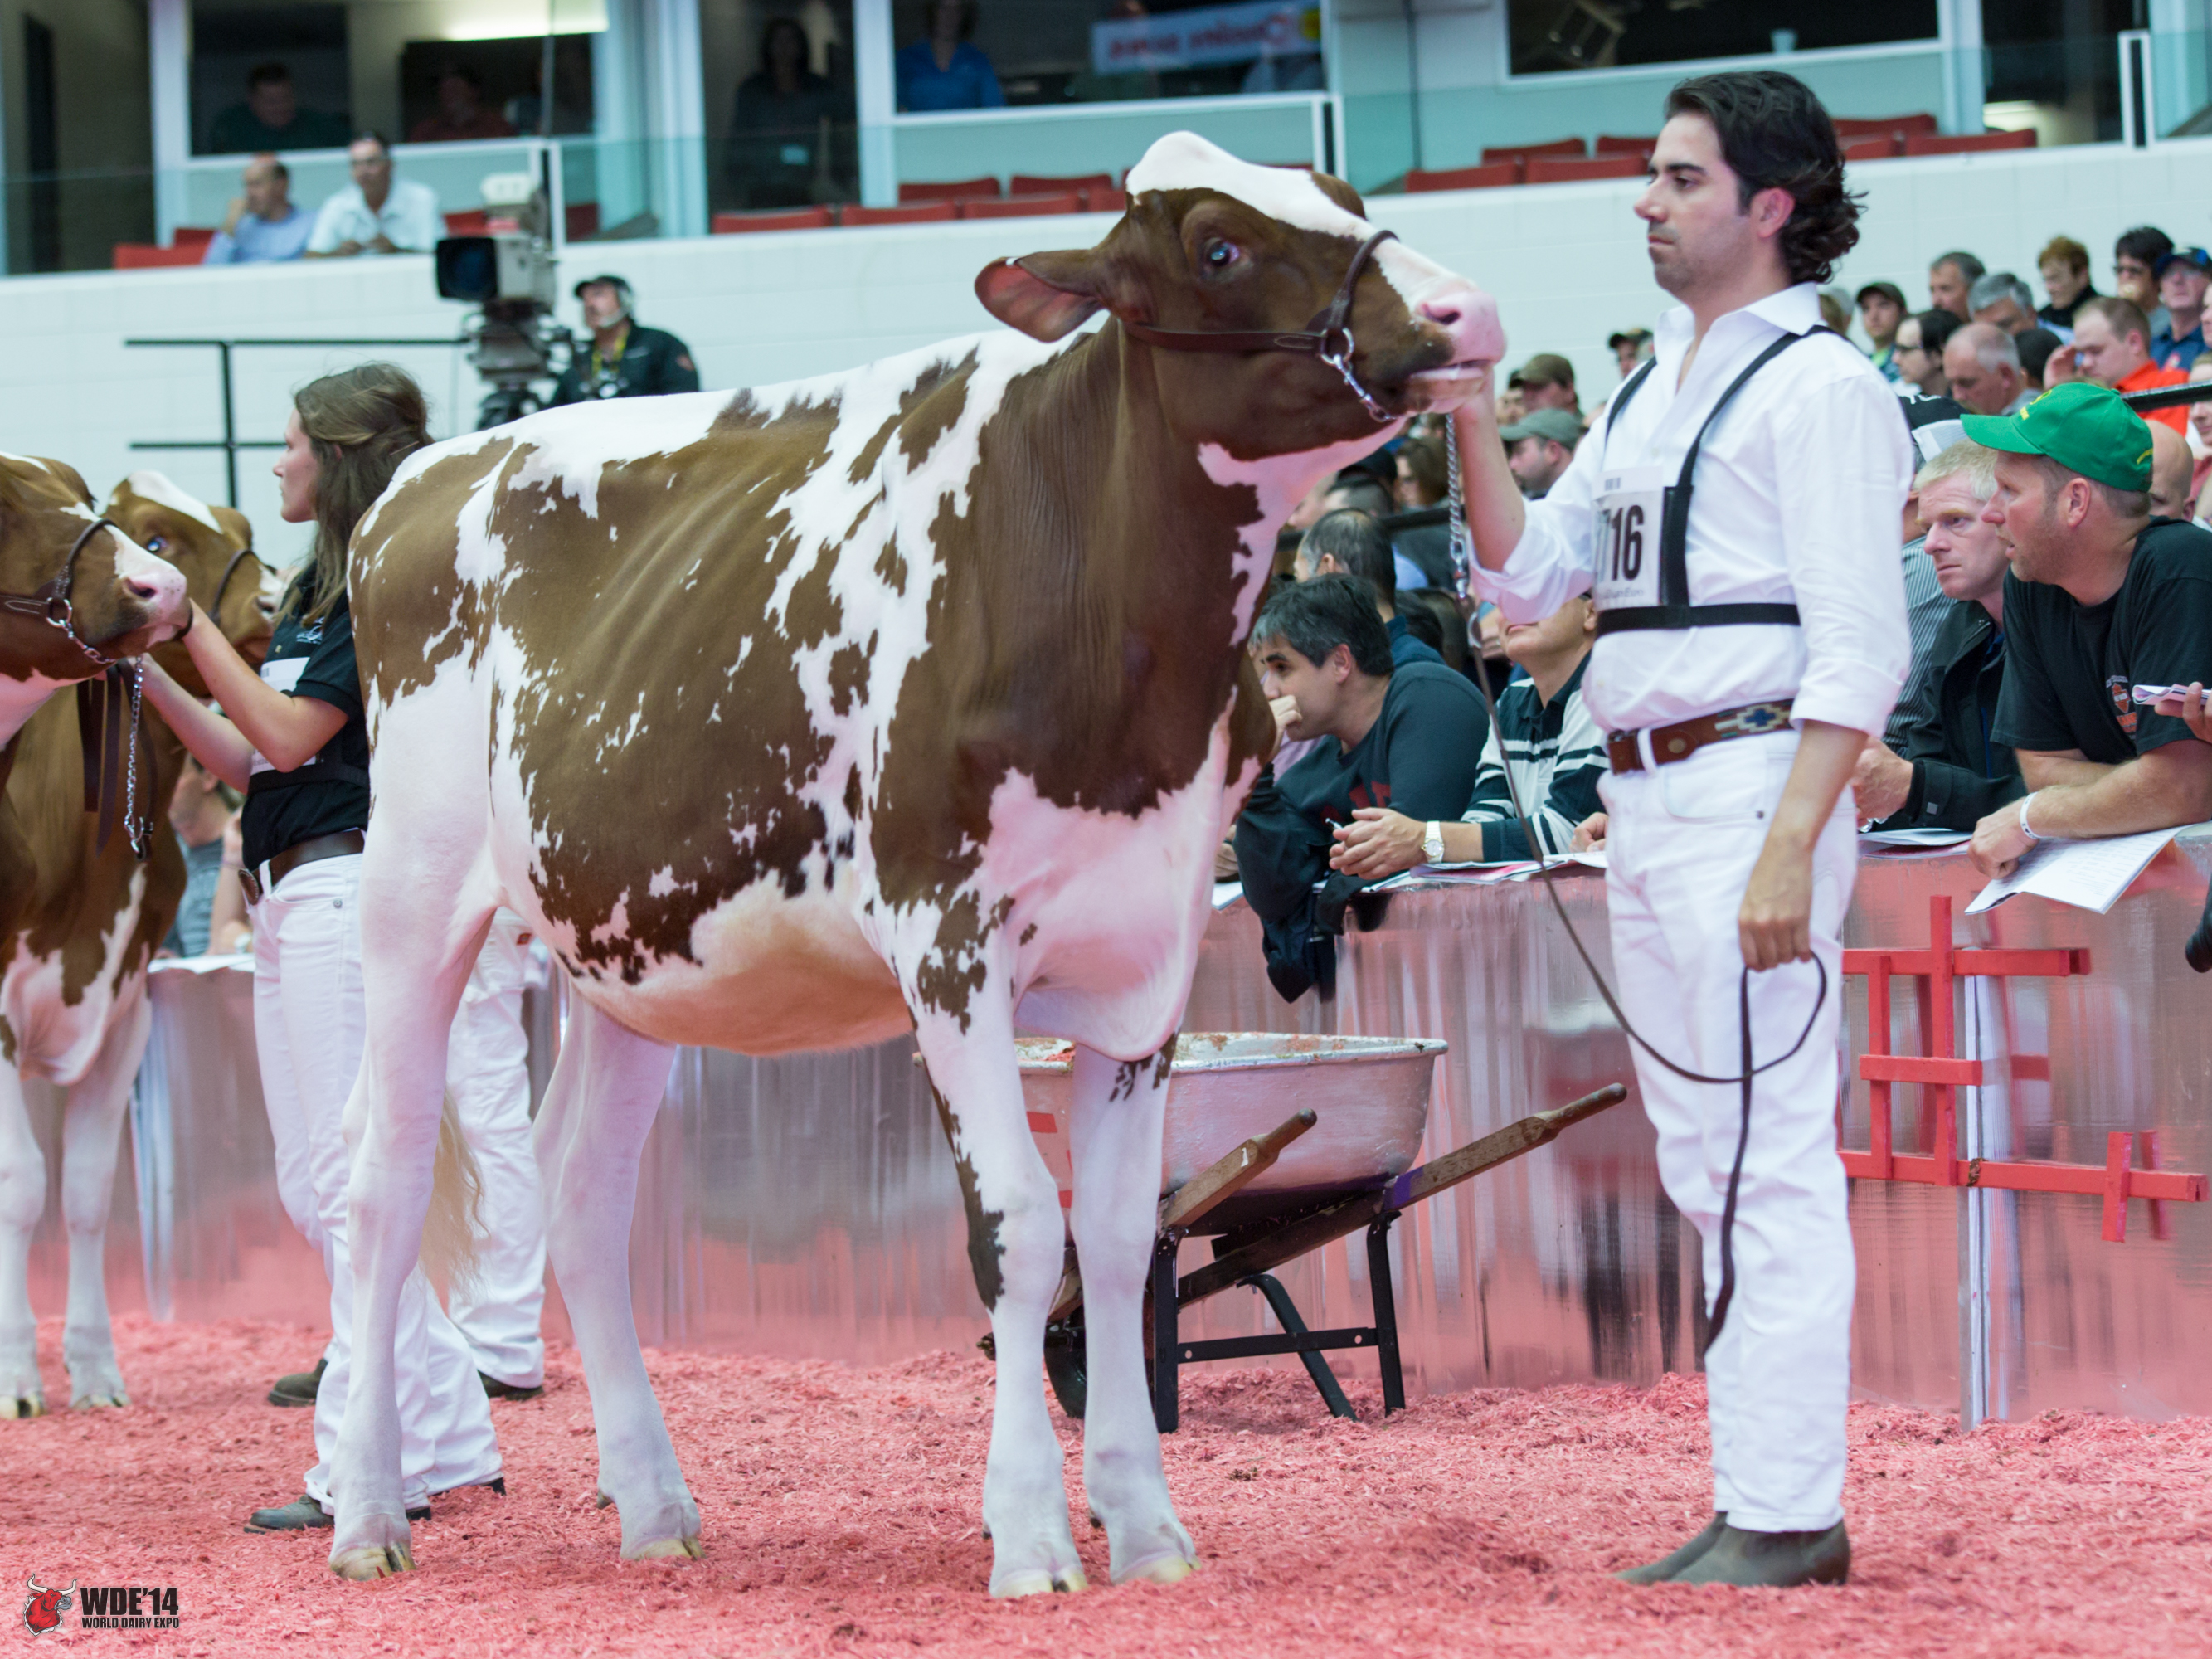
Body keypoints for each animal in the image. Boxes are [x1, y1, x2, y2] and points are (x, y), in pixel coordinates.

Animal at [0, 473, 273, 1417]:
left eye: (237, 520)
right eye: (154, 535)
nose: (274, 596)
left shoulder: (126, 1004)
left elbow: (83, 1188)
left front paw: (93, 1369)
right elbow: (19, 1185)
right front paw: (17, 1377)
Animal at [329, 132, 1501, 1591]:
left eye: (1341, 199)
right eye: (1218, 246)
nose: (1464, 312)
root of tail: (423, 476)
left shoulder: (1153, 953)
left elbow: (1122, 1238)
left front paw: (1145, 1529)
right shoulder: (947, 945)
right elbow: (1017, 1230)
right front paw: (1032, 1536)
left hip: (631, 952)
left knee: (581, 1194)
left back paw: (653, 1508)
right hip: (412, 894)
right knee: (381, 1181)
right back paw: (368, 1517)